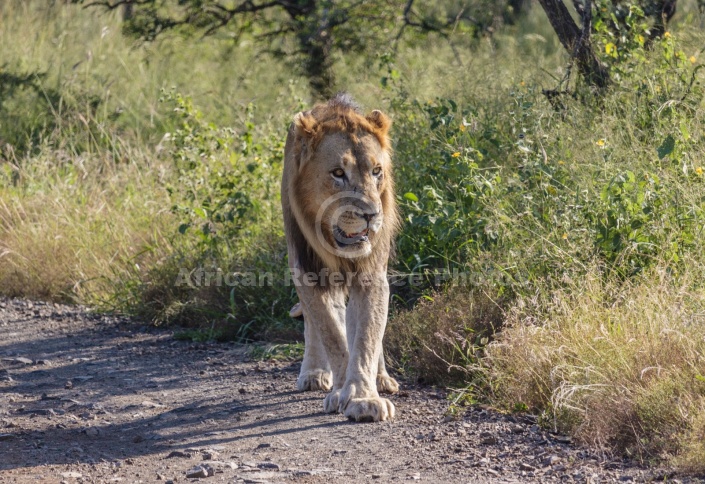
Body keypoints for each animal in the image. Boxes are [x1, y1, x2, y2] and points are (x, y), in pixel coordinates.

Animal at [282, 92, 402, 422]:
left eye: (376, 171)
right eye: (338, 173)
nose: (371, 215)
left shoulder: (372, 274)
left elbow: (367, 335)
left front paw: (363, 397)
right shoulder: (306, 271)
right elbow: (331, 333)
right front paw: (341, 391)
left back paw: (382, 378)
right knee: (317, 324)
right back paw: (314, 374)